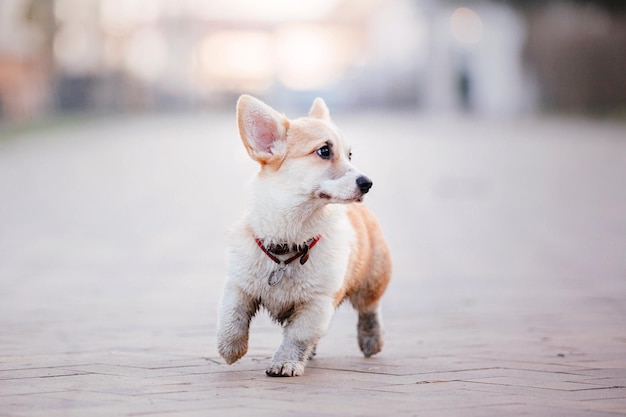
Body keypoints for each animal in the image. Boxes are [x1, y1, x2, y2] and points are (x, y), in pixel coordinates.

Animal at [214, 96, 390, 376]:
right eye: (324, 151)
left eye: (349, 154)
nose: (368, 183)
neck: (288, 241)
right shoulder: (238, 285)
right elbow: (232, 319)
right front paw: (230, 350)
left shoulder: (317, 303)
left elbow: (297, 336)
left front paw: (285, 363)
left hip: (372, 279)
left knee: (370, 308)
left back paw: (370, 339)